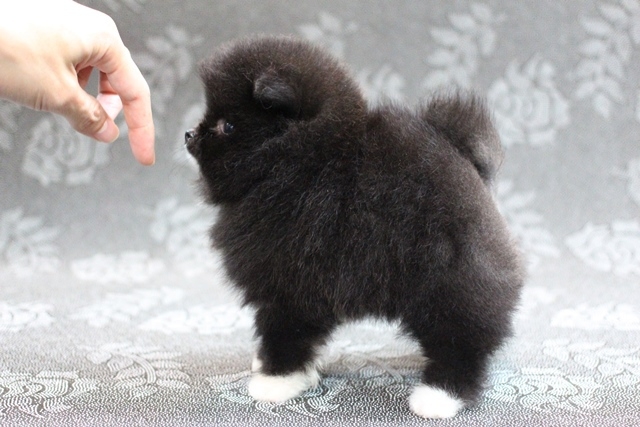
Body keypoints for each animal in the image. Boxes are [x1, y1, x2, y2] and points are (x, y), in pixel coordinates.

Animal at [185, 35, 524, 419]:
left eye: (227, 126)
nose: (190, 134)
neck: (299, 164)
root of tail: (465, 163)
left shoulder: (289, 287)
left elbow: (284, 336)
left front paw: (275, 381)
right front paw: (278, 368)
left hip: (449, 285)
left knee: (460, 343)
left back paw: (438, 397)